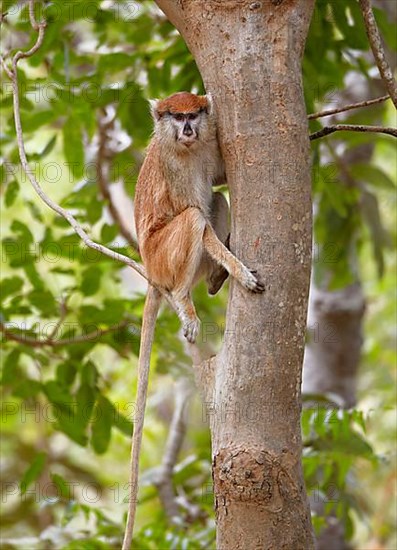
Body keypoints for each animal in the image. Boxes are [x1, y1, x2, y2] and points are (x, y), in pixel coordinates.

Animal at [120, 92, 262, 548]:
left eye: (194, 114)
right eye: (176, 115)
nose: (187, 129)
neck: (185, 149)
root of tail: (150, 270)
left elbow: (216, 181)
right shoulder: (175, 167)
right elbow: (196, 215)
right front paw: (238, 270)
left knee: (215, 201)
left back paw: (213, 280)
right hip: (164, 254)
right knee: (197, 217)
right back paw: (187, 297)